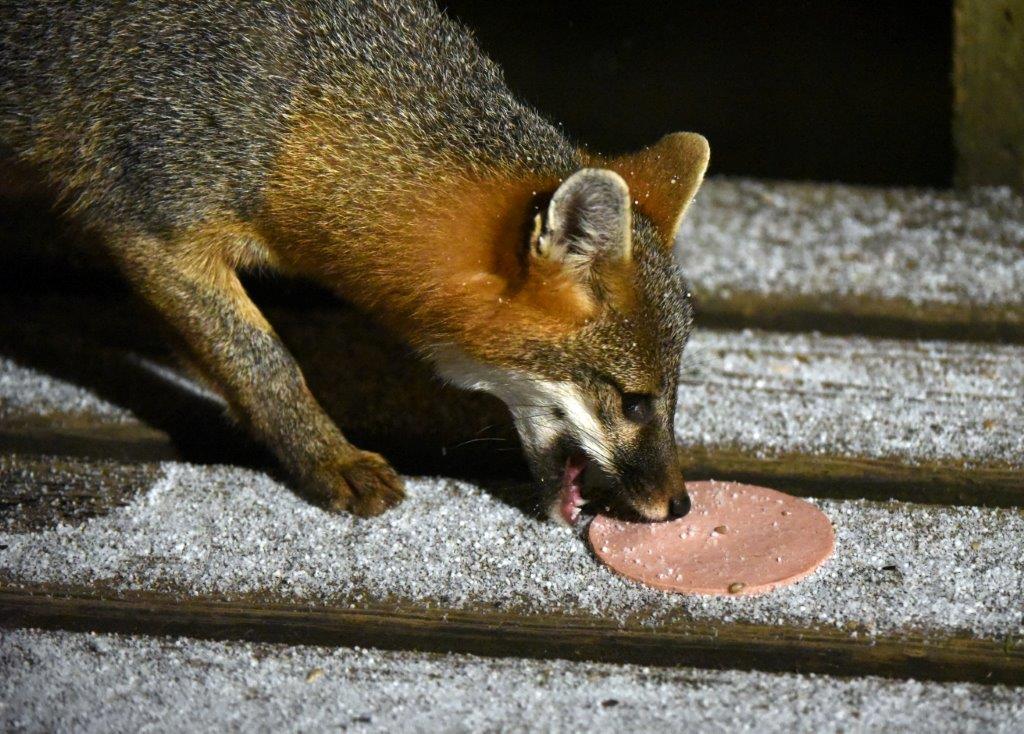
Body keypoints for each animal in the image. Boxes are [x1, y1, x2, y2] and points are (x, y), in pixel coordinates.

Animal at [0, 0, 708, 525]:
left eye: (671, 394)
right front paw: (326, 458)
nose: (679, 506)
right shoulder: (153, 226)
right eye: (636, 404)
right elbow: (264, 360)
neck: (293, 104)